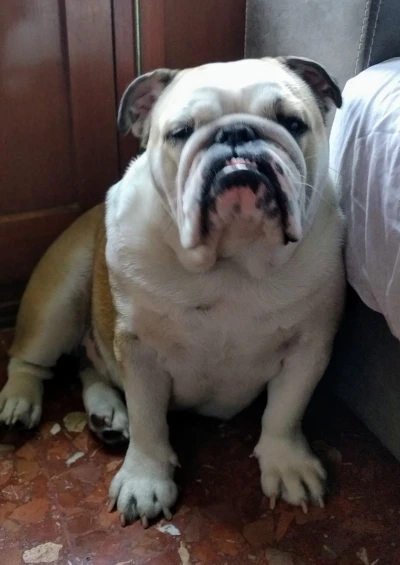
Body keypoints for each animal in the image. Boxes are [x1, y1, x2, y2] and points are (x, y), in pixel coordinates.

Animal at [0, 56, 344, 527]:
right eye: (181, 131)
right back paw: (21, 402)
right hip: (60, 295)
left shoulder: (309, 346)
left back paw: (106, 414)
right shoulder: (138, 348)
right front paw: (145, 480)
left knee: (89, 366)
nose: (236, 133)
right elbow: (148, 421)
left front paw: (286, 462)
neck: (232, 261)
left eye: (293, 123)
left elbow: (286, 410)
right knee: (31, 360)